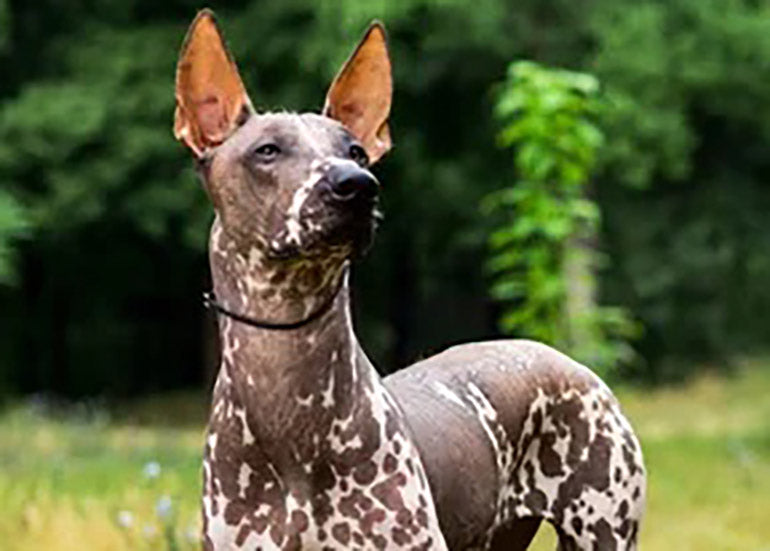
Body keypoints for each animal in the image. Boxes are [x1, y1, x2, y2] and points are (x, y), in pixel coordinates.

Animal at [172, 9, 640, 551]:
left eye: (356, 150)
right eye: (267, 151)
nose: (355, 185)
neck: (289, 414)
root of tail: (557, 356)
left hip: (605, 524)